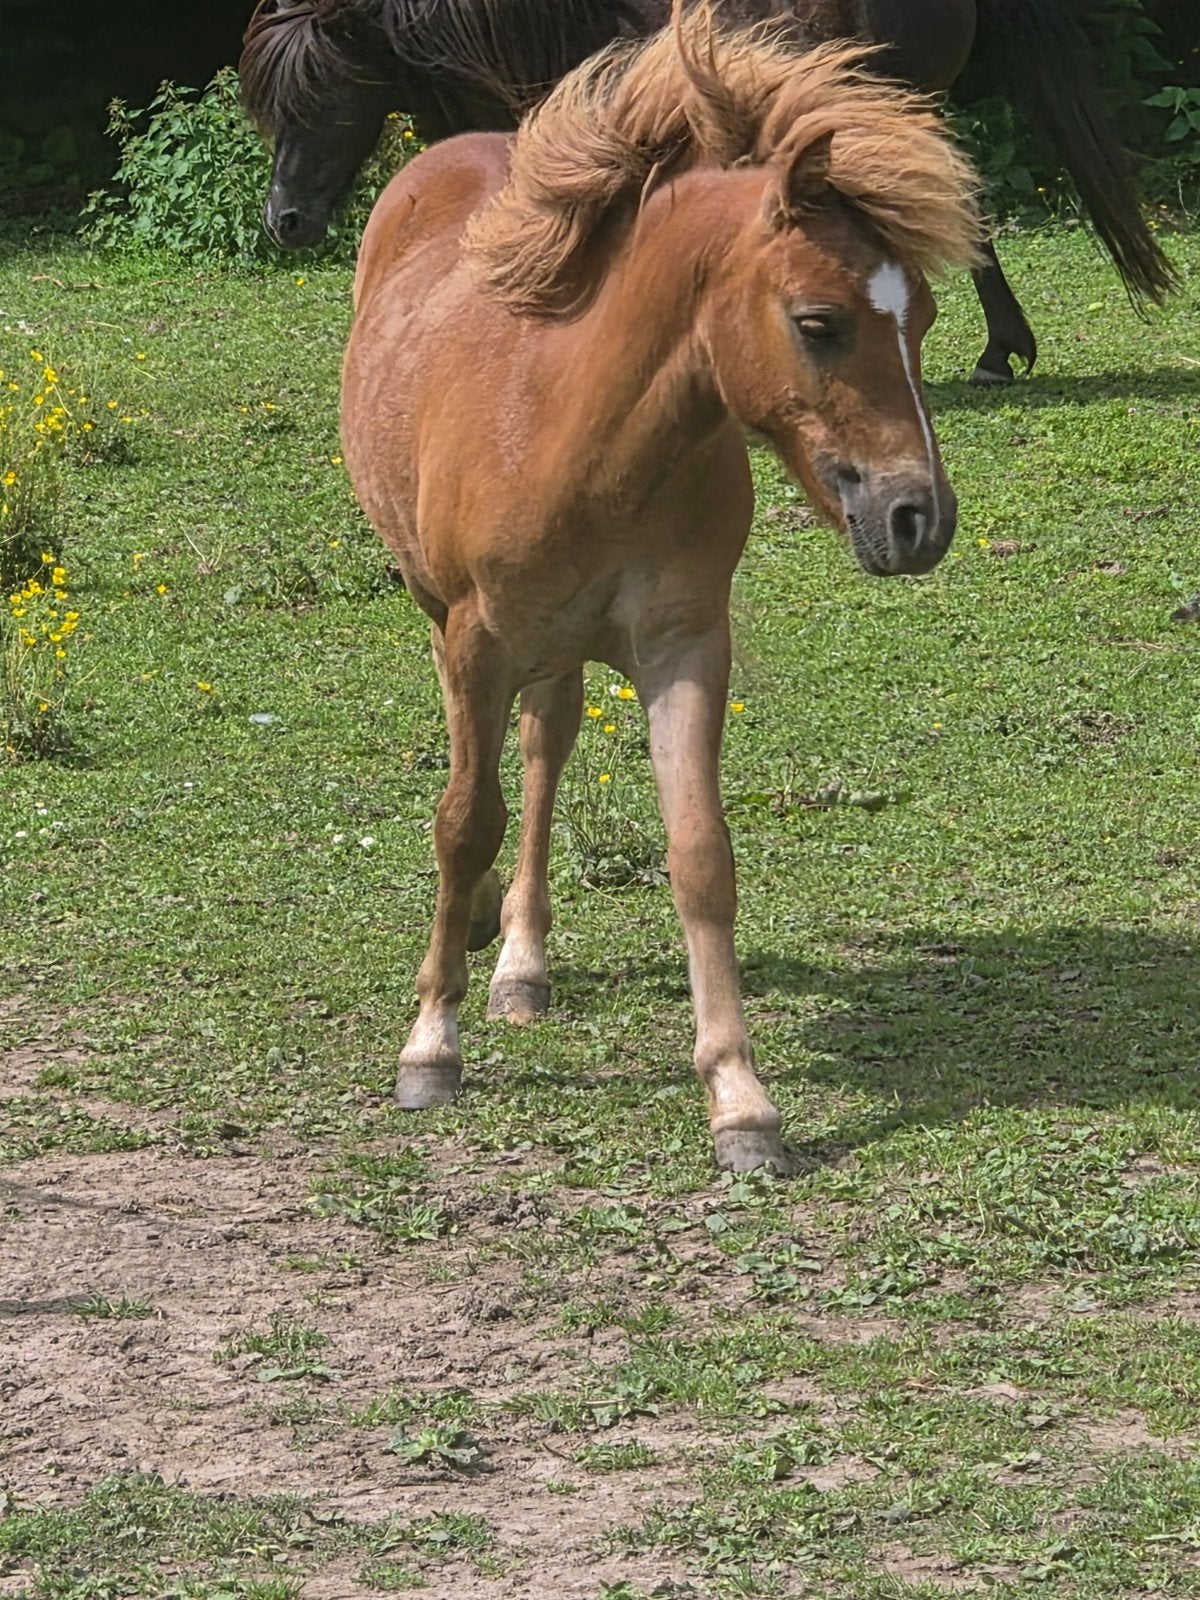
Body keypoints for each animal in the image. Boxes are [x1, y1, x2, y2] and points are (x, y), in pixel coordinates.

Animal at [340, 1, 981, 1171]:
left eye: (920, 323)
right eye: (818, 323)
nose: (919, 520)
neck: (576, 428)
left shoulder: (686, 646)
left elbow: (700, 857)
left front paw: (741, 1098)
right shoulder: (475, 640)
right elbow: (462, 820)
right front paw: (429, 1046)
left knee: (544, 747)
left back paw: (522, 961)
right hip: (449, 611)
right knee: (494, 777)